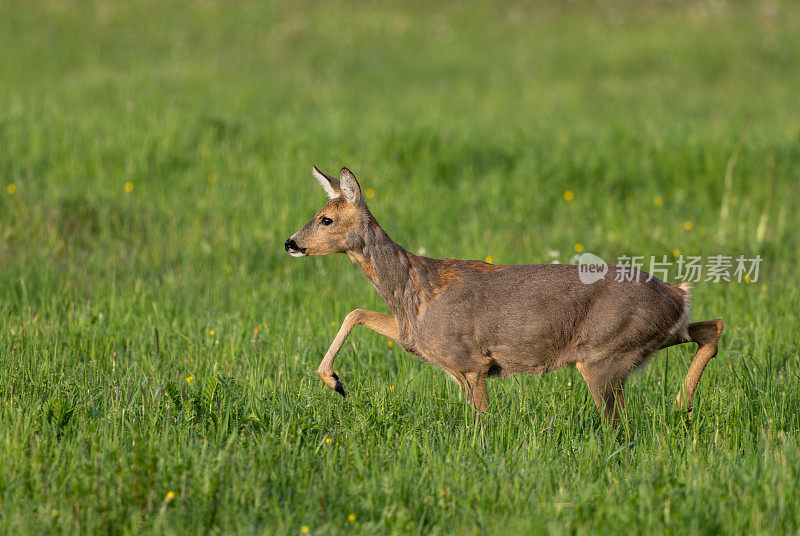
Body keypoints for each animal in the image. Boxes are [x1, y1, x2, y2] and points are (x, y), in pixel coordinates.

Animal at [284, 165, 720, 426]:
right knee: (710, 327)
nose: (290, 243)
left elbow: (482, 423)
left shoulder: (470, 361)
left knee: (621, 427)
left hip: (602, 354)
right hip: (650, 337)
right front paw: (334, 381)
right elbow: (355, 311)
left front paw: (336, 382)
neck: (414, 293)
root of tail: (677, 295)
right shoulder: (417, 340)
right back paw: (682, 405)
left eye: (326, 219)